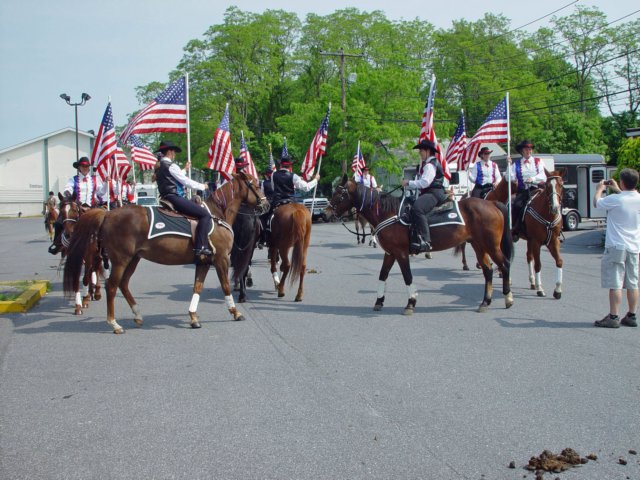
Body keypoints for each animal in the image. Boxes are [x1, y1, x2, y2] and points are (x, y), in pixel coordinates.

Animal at [62, 172, 268, 334]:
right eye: (257, 185)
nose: (266, 205)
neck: (217, 215)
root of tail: (108, 214)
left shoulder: (203, 261)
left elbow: (197, 287)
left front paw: (193, 317)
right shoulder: (221, 259)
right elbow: (225, 285)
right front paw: (235, 312)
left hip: (133, 259)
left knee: (123, 284)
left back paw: (137, 315)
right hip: (121, 260)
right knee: (112, 286)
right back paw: (114, 324)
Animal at [328, 176, 512, 316]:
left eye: (339, 194)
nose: (325, 213)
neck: (390, 213)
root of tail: (492, 204)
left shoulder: (401, 253)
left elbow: (407, 276)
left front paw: (411, 303)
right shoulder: (390, 253)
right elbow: (383, 275)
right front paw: (379, 301)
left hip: (492, 246)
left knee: (504, 265)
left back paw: (508, 298)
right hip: (479, 245)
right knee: (488, 270)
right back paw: (485, 302)